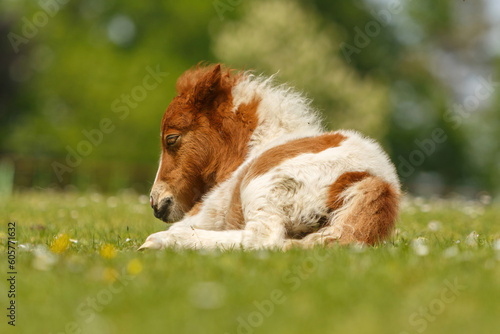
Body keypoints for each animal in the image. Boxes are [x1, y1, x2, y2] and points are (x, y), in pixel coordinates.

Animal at [139, 64, 400, 250]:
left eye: (171, 139)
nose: (156, 202)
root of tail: (375, 181)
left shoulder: (210, 211)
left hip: (260, 188)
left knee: (261, 239)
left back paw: (159, 241)